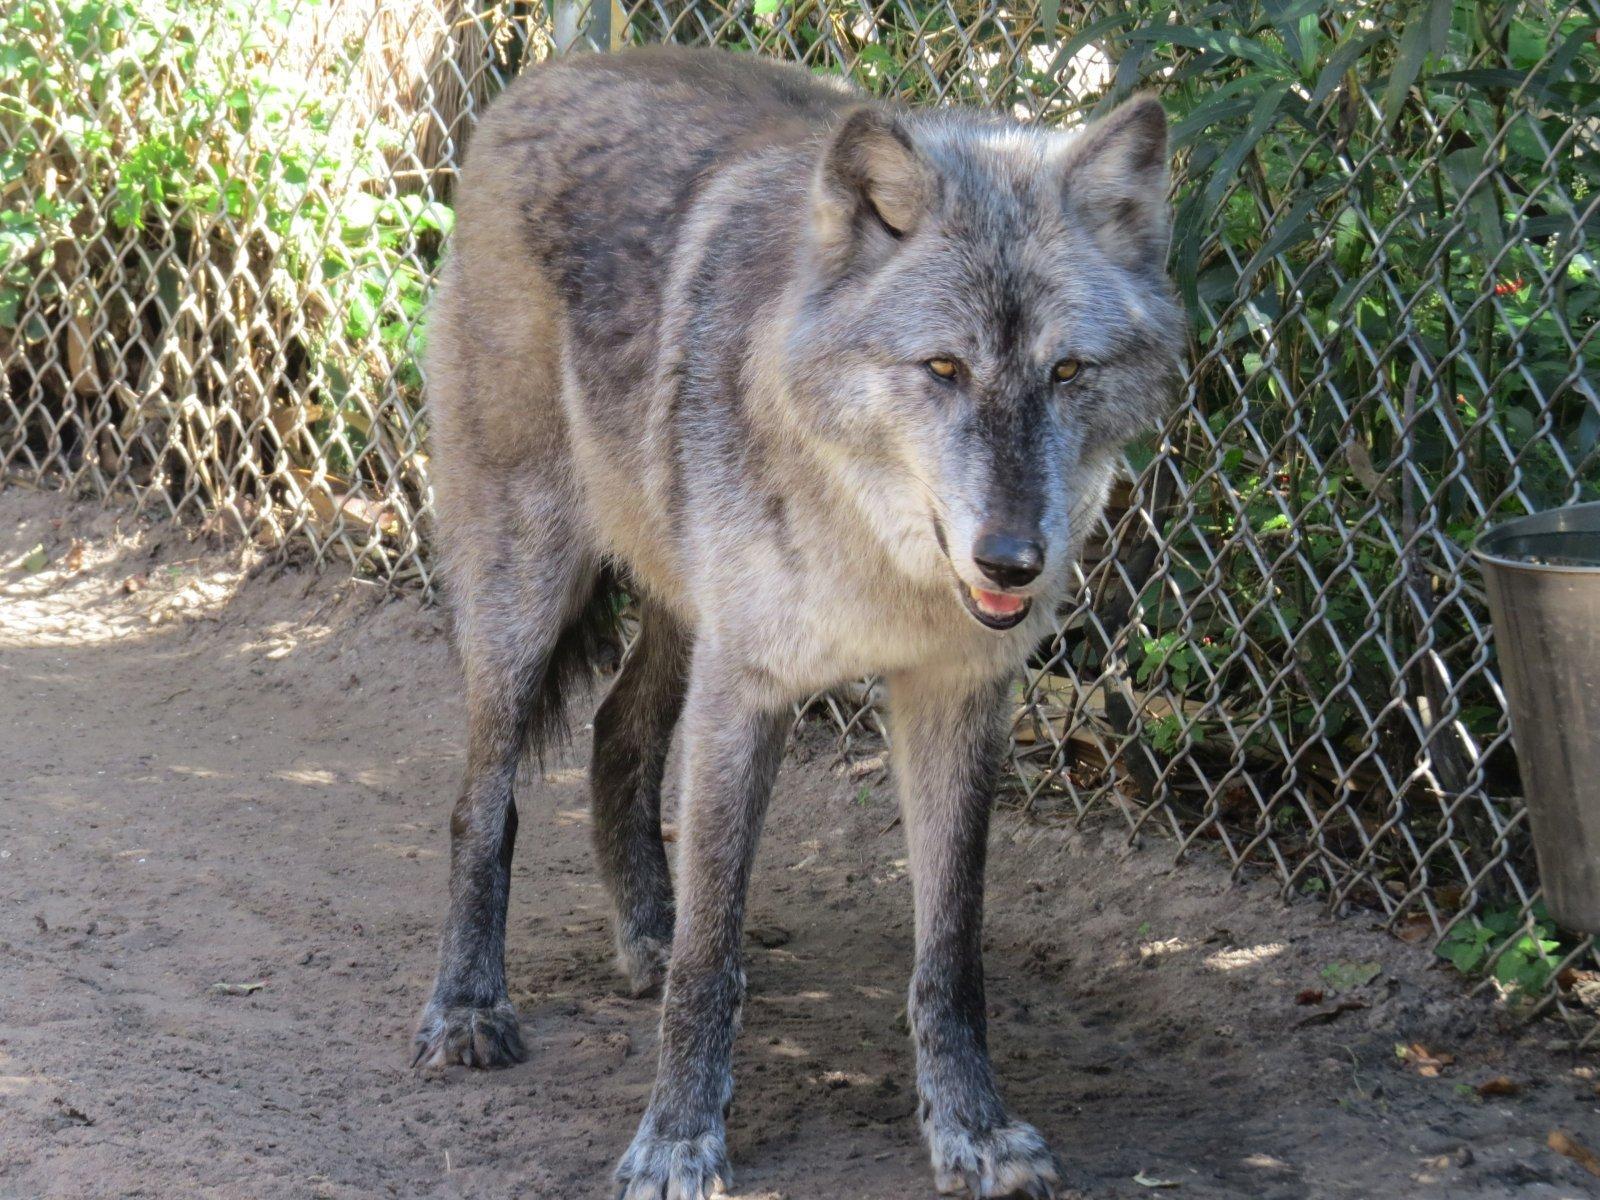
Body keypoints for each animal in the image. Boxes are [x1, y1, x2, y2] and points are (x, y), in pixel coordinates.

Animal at [412, 44, 1190, 1200]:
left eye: (1067, 373)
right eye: (943, 368)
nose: (1012, 559)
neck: (881, 558)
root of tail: (552, 72)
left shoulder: (956, 696)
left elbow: (950, 952)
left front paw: (972, 1128)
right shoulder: (749, 687)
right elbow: (713, 956)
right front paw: (678, 1139)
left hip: (680, 608)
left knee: (615, 736)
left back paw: (642, 936)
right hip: (527, 583)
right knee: (484, 800)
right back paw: (469, 1006)